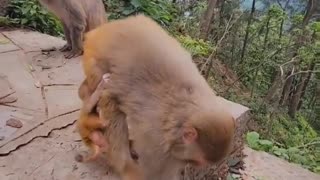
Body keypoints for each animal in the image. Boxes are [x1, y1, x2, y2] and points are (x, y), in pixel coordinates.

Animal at [80, 14, 235, 180]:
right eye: (199, 161)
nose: (197, 166)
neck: (184, 113)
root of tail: (100, 31)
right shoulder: (156, 143)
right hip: (94, 59)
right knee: (110, 100)